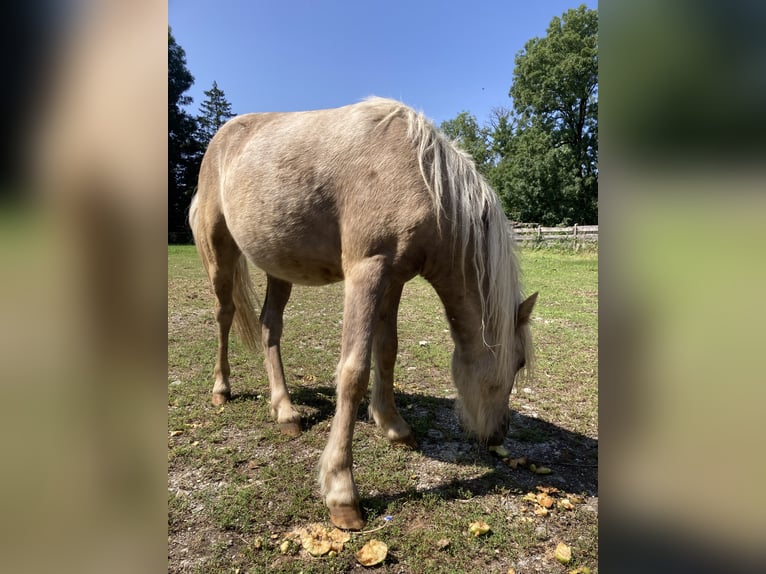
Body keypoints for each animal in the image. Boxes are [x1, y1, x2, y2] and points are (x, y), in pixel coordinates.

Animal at [190, 98, 540, 532]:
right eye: (518, 361)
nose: (498, 435)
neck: (420, 174)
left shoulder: (394, 279)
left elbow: (386, 352)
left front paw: (393, 426)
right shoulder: (366, 271)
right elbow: (353, 371)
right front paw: (342, 492)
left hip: (279, 266)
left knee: (270, 326)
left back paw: (285, 410)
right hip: (219, 252)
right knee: (223, 315)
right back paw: (222, 389)